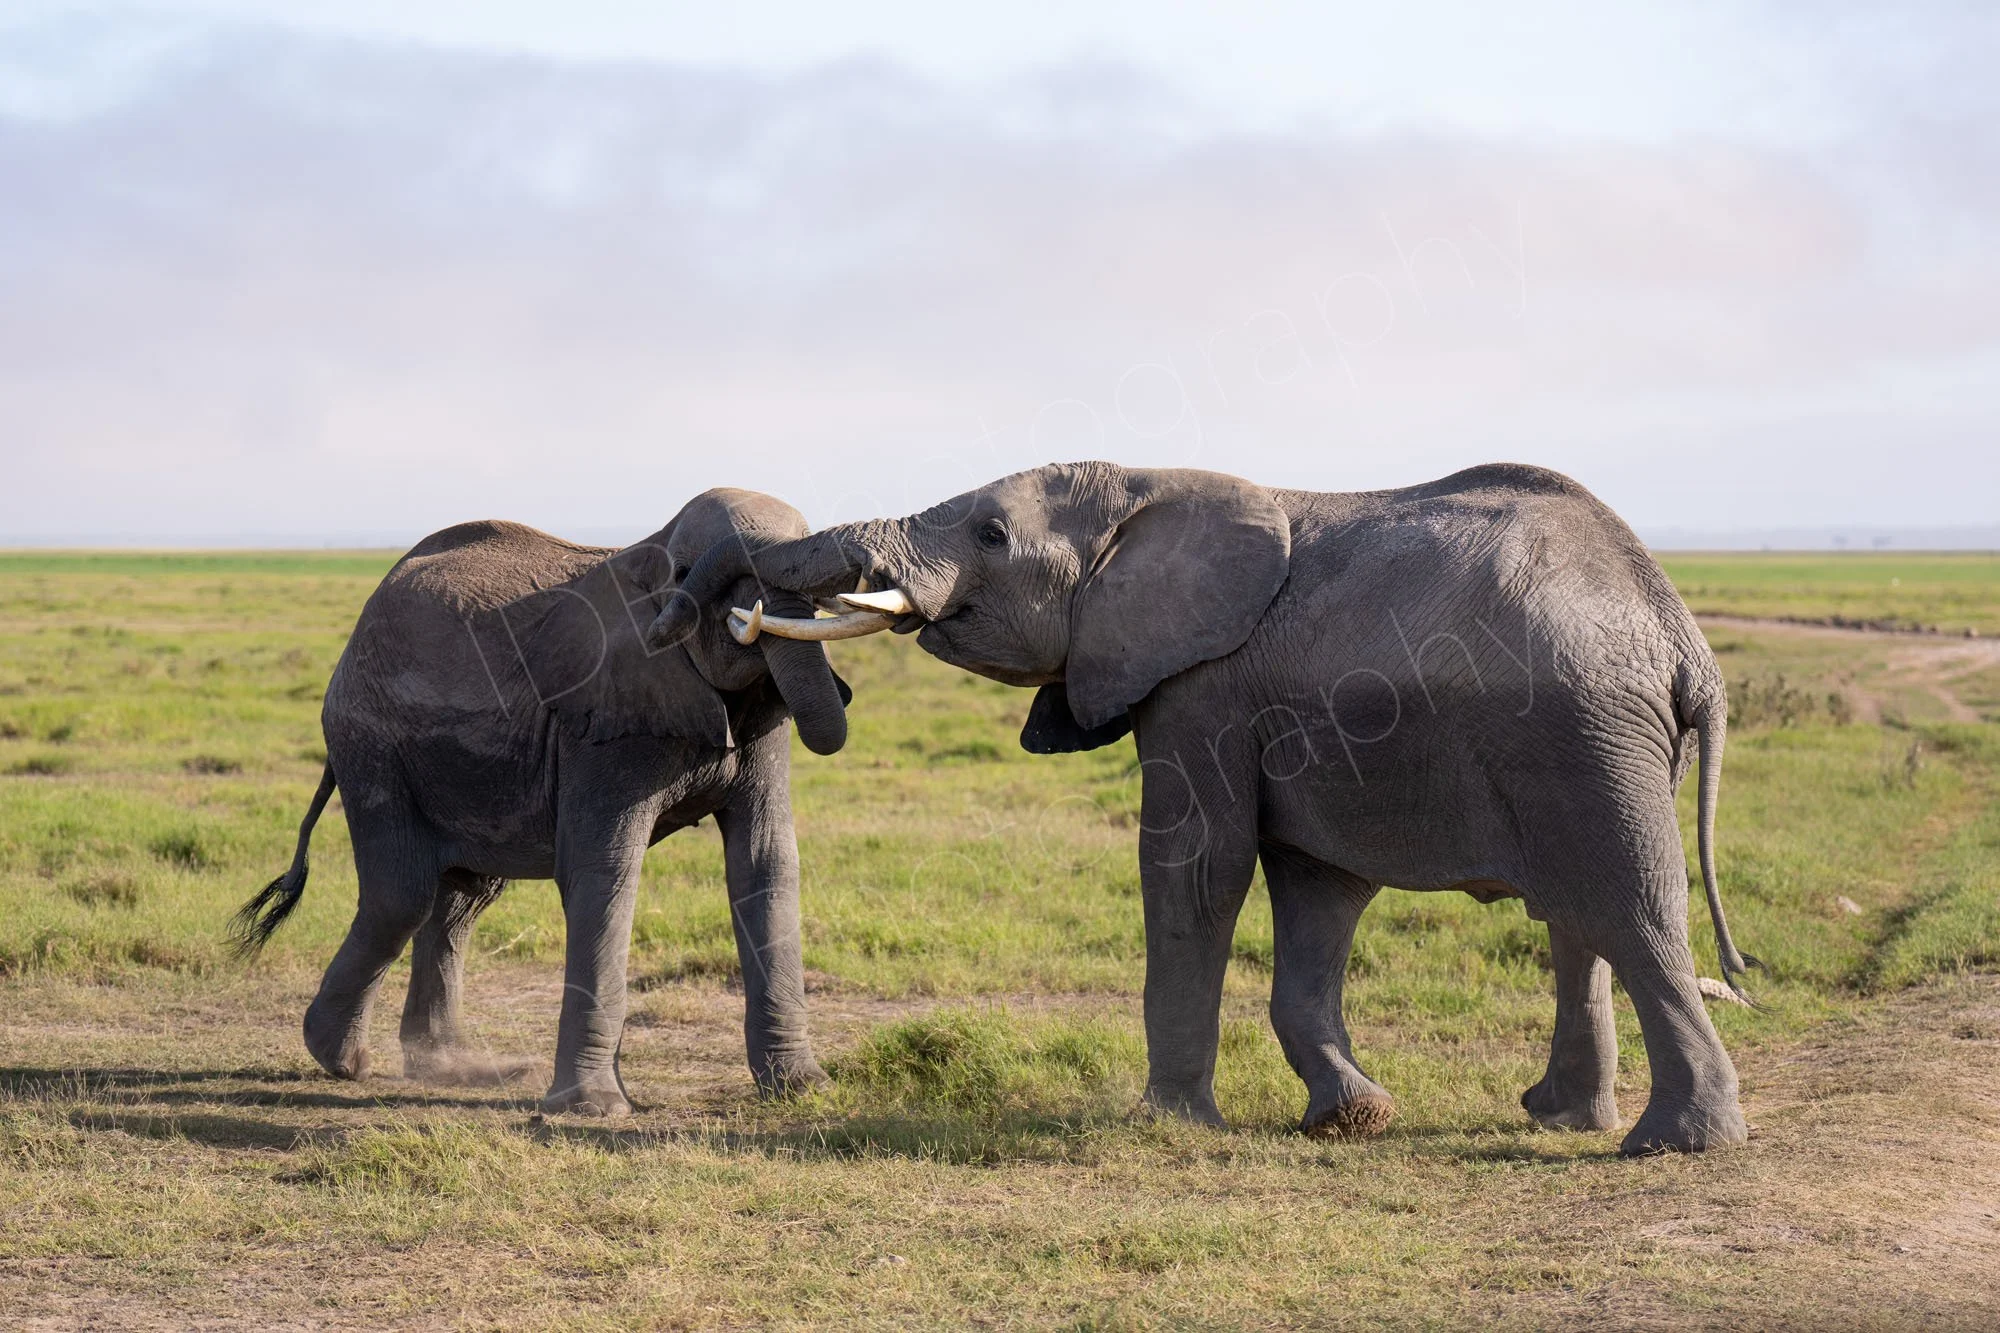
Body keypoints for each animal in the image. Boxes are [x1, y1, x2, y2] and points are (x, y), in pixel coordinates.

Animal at [233, 488, 848, 1116]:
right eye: (685, 574)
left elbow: (766, 863)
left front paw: (804, 1089)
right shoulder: (597, 719)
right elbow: (603, 870)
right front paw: (594, 1109)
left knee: (459, 903)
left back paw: (453, 1068)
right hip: (370, 743)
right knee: (401, 897)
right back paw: (343, 1060)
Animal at [653, 461, 1755, 1155]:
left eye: (991, 534)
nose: (686, 612)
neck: (1147, 484)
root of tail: (1681, 635)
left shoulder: (1202, 687)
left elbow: (1195, 865)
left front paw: (1173, 1122)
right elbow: (1316, 893)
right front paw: (1350, 1118)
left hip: (1584, 735)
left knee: (1627, 907)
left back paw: (1673, 1145)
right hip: (1598, 743)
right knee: (1576, 920)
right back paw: (1565, 1119)